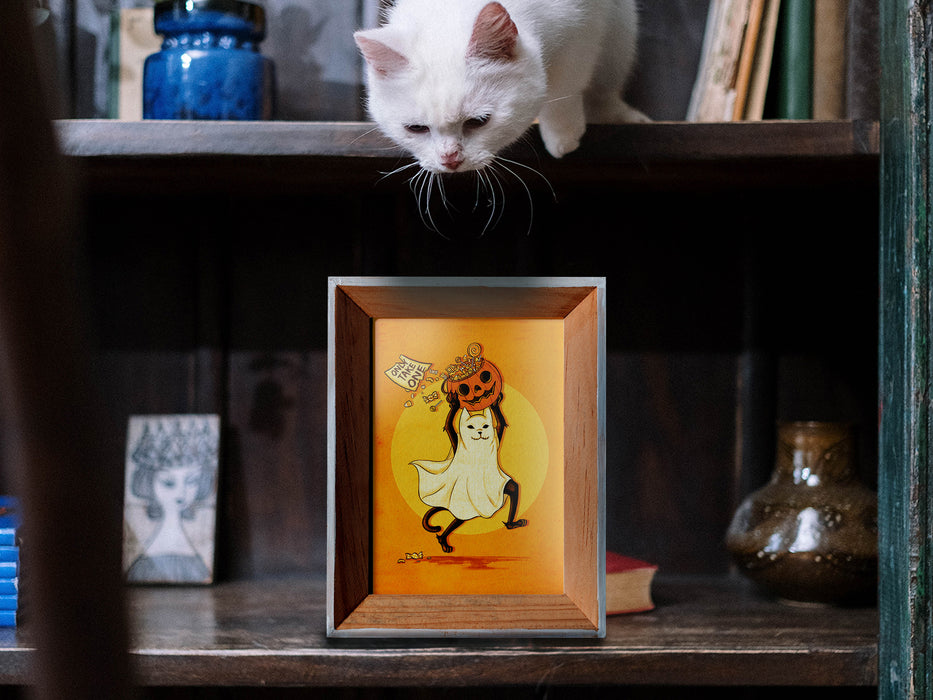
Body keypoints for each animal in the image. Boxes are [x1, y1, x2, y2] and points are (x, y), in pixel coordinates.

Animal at [354, 0, 644, 175]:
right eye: (415, 128)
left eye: (479, 121)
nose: (450, 160)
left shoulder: (585, 27)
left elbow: (567, 82)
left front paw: (561, 135)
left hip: (621, 36)